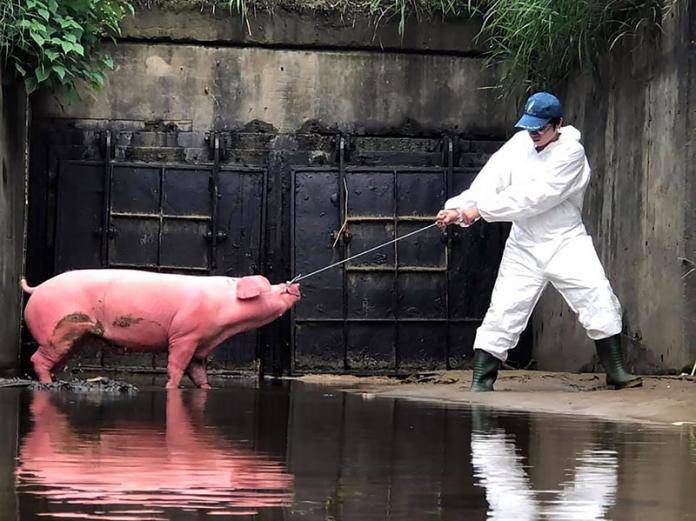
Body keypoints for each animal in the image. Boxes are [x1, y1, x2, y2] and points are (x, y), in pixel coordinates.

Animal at [21, 270, 300, 388]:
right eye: (271, 287)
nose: (293, 285)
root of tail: (36, 288)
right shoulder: (185, 335)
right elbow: (176, 366)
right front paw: (171, 388)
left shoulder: (201, 346)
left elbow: (198, 373)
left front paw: (208, 389)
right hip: (57, 331)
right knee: (37, 359)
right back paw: (47, 384)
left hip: (76, 337)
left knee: (55, 362)